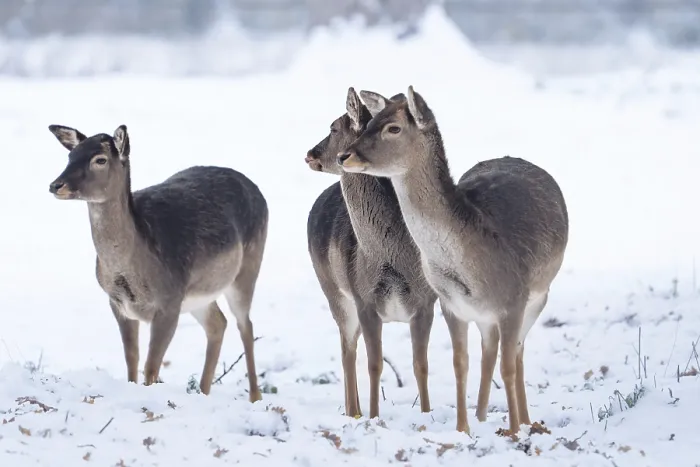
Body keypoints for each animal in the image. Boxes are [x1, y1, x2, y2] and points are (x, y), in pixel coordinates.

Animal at [47, 124, 268, 400]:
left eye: (100, 159)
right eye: (70, 155)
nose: (56, 185)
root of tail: (257, 190)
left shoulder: (169, 301)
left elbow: (151, 366)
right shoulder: (117, 303)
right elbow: (131, 359)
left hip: (248, 268)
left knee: (245, 325)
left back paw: (255, 397)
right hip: (200, 295)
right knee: (218, 323)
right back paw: (203, 392)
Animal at [337, 87, 569, 434]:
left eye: (393, 128)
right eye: (369, 123)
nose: (345, 156)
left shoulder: (515, 299)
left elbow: (508, 366)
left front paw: (514, 431)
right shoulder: (449, 304)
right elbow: (461, 363)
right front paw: (462, 429)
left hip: (540, 296)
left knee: (516, 353)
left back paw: (527, 421)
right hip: (488, 315)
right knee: (490, 351)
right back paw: (482, 416)